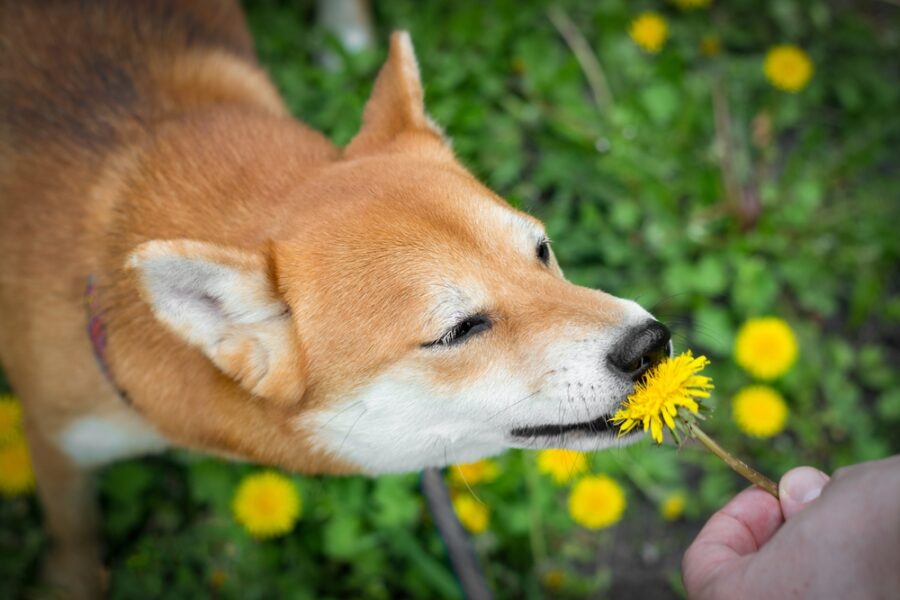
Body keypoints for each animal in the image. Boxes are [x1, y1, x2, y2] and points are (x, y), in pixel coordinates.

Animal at [1, 0, 676, 596]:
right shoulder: (53, 438)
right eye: (458, 330)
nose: (650, 345)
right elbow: (74, 533)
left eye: (540, 252)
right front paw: (66, 582)